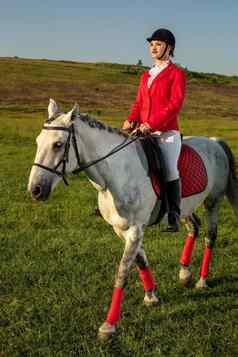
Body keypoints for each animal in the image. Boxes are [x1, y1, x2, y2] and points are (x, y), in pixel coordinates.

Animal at [28, 98, 238, 338]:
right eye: (38, 142)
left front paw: (108, 325)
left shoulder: (136, 229)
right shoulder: (121, 229)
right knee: (193, 227)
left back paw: (202, 280)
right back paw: (185, 274)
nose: (35, 190)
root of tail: (214, 142)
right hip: (185, 207)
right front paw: (151, 296)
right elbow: (140, 261)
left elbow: (122, 272)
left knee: (210, 236)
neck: (115, 173)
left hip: (213, 201)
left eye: (58, 144)